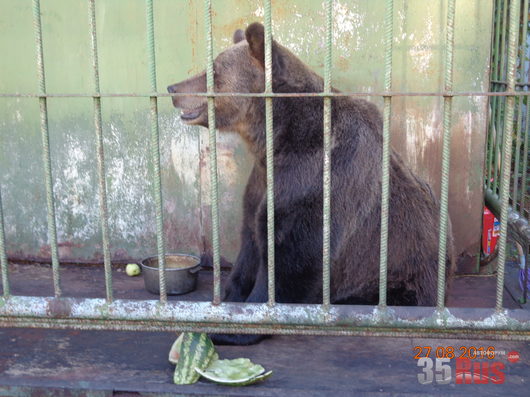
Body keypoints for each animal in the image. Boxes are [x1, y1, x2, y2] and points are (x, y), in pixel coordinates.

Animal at [167, 22, 452, 344]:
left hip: (399, 276)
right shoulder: (262, 181)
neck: (275, 138)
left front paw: (234, 326)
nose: (173, 89)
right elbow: (250, 238)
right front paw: (228, 299)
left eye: (213, 71)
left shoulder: (316, 179)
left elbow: (294, 255)